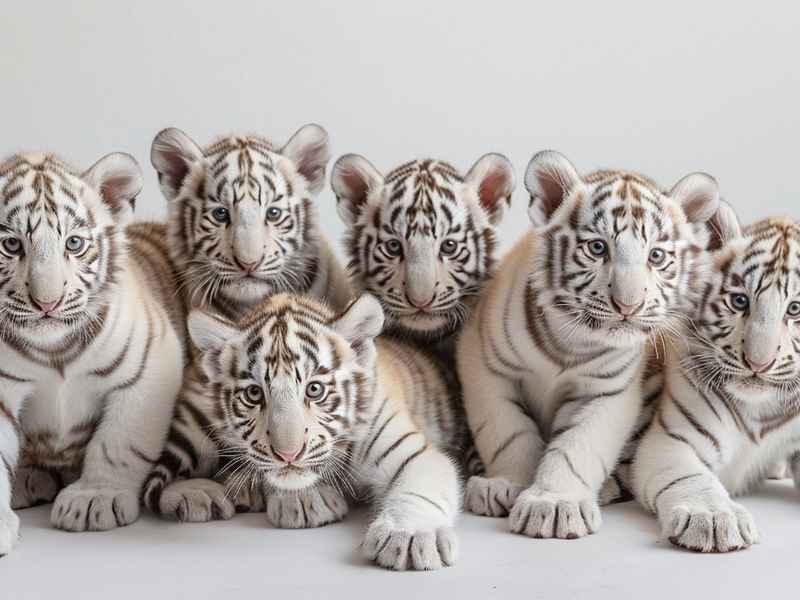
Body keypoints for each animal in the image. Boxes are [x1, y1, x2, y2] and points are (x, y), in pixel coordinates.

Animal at [0, 152, 185, 556]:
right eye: (11, 245)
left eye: (74, 244)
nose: (47, 303)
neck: (53, 348)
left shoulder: (152, 364)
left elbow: (119, 441)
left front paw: (95, 498)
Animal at [180, 293, 461, 570]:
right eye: (253, 393)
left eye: (314, 389)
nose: (288, 455)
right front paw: (304, 500)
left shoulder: (413, 452)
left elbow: (420, 490)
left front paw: (410, 536)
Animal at [456, 150, 720, 539]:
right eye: (597, 248)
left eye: (656, 256)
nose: (628, 305)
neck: (569, 342)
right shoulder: (485, 369)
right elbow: (510, 433)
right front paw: (507, 484)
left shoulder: (607, 392)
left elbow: (577, 446)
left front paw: (553, 503)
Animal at [633, 211, 800, 553]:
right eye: (739, 301)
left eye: (795, 309)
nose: (758, 363)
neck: (760, 410)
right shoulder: (673, 440)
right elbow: (692, 479)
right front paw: (712, 518)